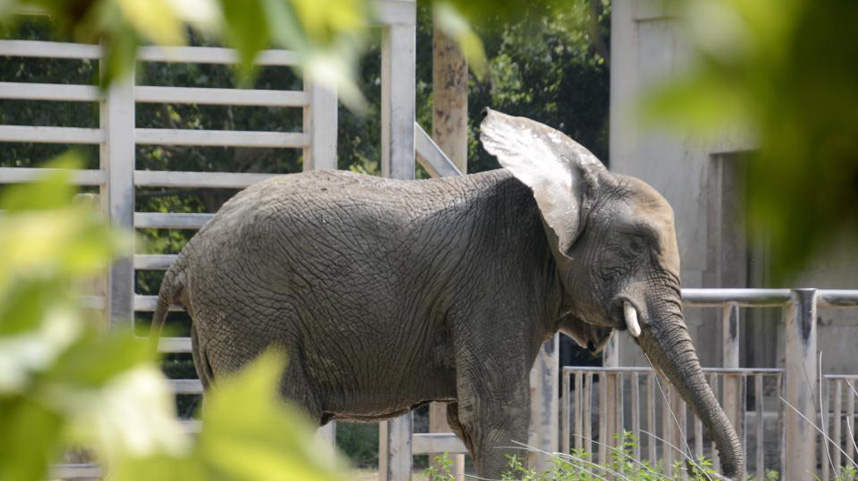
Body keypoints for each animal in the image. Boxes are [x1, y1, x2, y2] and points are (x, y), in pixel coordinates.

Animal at [154, 109, 744, 480]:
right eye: (636, 246)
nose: (710, 468)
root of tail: (186, 254)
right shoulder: (495, 277)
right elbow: (499, 416)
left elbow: (471, 420)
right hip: (254, 312)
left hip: (229, 319)